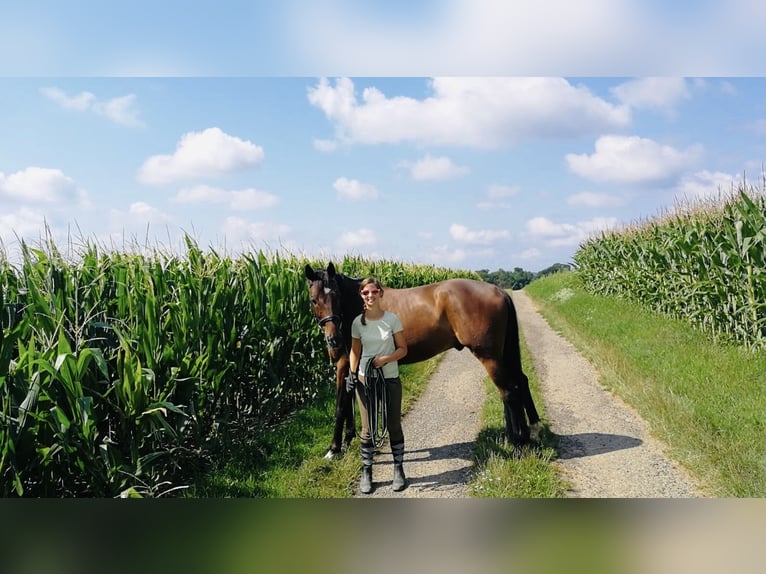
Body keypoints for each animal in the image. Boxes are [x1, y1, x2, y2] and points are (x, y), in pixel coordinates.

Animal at [304, 262, 540, 459]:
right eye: (314, 300)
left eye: (336, 296)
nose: (333, 339)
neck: (357, 307)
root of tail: (498, 290)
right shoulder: (353, 366)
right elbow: (350, 404)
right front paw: (348, 440)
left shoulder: (345, 363)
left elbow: (341, 406)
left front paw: (333, 449)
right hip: (501, 354)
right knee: (519, 382)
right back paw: (527, 430)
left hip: (489, 355)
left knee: (509, 391)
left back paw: (520, 442)